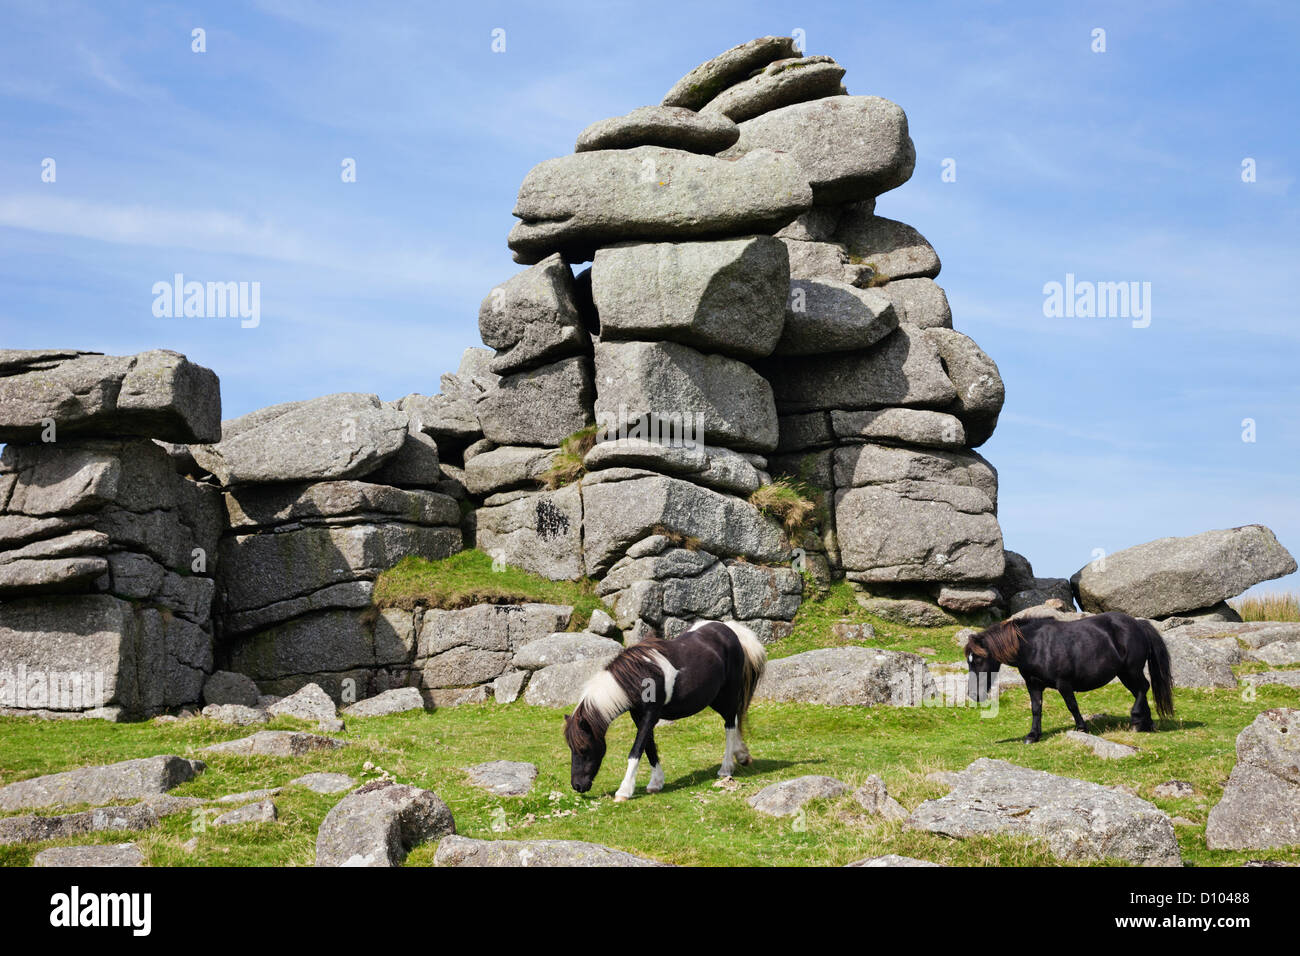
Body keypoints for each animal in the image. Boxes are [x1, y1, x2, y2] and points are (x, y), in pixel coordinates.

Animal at [563, 620, 767, 801]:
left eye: (584, 748)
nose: (577, 785)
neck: (640, 676)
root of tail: (730, 630)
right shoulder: (639, 717)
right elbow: (649, 747)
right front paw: (656, 782)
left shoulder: (650, 715)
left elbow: (636, 750)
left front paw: (624, 790)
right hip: (715, 698)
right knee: (734, 719)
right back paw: (741, 755)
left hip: (728, 694)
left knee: (730, 725)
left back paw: (726, 768)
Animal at [964, 611, 1174, 743]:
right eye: (969, 660)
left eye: (980, 659)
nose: (973, 695)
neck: (1035, 647)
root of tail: (1138, 624)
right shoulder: (1033, 685)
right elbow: (1036, 709)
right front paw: (1033, 736)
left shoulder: (1063, 683)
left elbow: (1072, 705)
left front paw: (1081, 728)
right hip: (1125, 673)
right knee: (1140, 691)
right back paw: (1146, 724)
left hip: (1131, 670)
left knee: (1143, 688)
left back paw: (1137, 720)